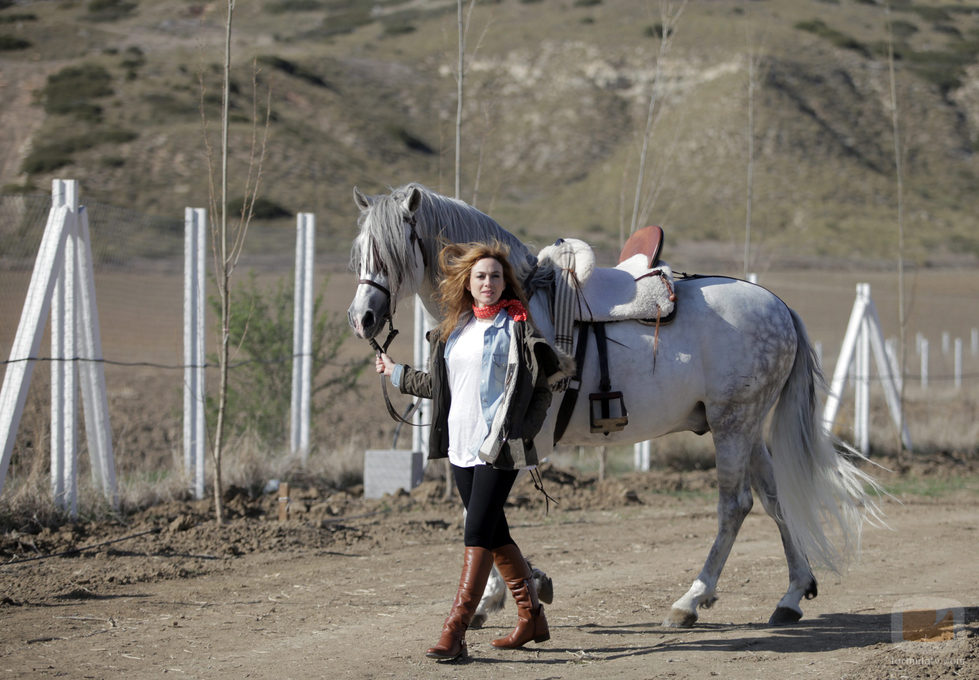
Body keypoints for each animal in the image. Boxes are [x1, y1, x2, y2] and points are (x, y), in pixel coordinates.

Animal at [348, 182, 884, 628]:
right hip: (746, 428)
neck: (511, 304)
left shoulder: (511, 437)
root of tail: (778, 305)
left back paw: (691, 600)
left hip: (733, 424)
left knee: (736, 505)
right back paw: (792, 594)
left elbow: (481, 513)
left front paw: (497, 596)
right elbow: (480, 514)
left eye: (391, 250)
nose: (363, 318)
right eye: (358, 253)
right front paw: (525, 584)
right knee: (773, 499)